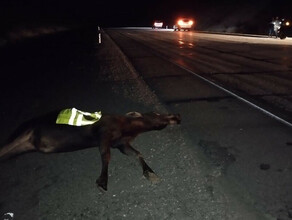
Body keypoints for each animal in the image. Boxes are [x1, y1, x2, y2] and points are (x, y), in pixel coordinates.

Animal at [0, 109, 181, 192]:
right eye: (156, 114)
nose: (176, 117)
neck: (128, 128)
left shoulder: (120, 143)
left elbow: (137, 154)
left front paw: (150, 173)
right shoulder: (104, 134)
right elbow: (105, 156)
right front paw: (102, 181)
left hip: (22, 144)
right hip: (23, 133)